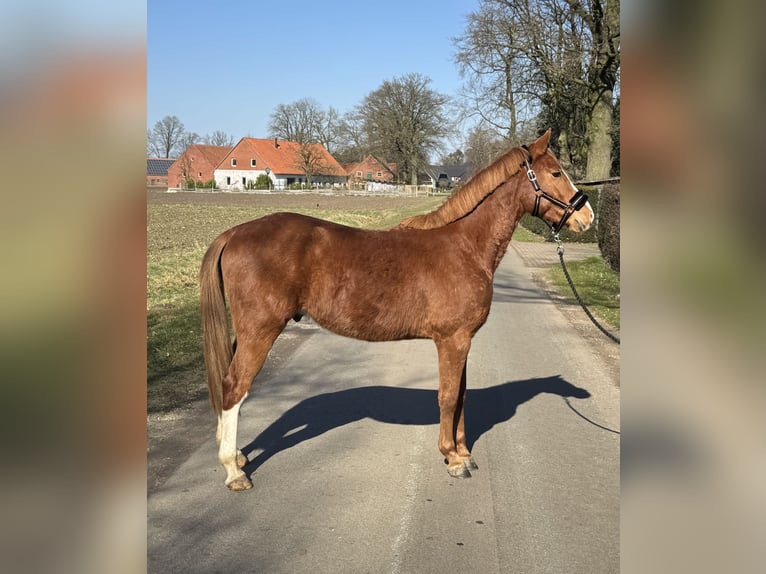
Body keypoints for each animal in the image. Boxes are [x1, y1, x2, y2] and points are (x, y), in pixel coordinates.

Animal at [200, 129, 592, 490]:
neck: (464, 245)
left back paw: (237, 456)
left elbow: (462, 395)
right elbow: (448, 396)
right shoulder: (452, 340)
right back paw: (234, 471)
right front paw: (452, 458)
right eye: (556, 172)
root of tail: (233, 234)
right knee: (235, 387)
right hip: (260, 331)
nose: (586, 217)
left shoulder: (464, 340)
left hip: (246, 333)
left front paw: (464, 453)